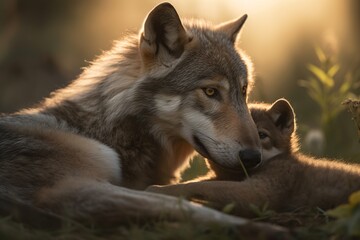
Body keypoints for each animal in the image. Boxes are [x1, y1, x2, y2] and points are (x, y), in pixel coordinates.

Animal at [1, 2, 262, 226]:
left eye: (243, 91)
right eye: (210, 91)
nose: (253, 157)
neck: (105, 131)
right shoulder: (65, 189)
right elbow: (180, 205)